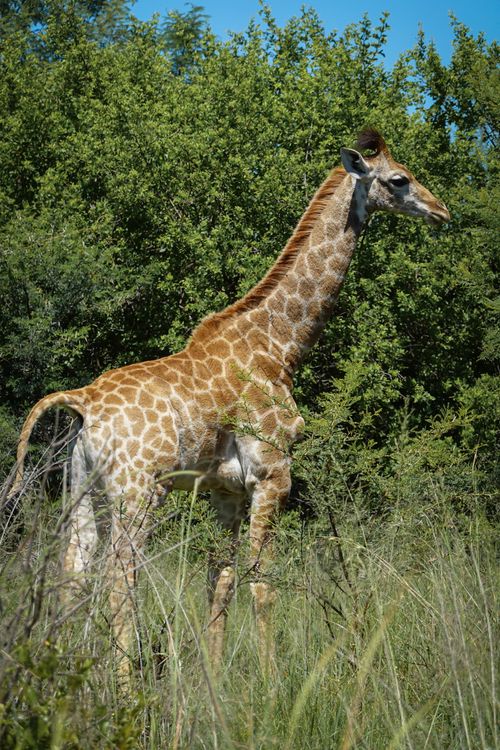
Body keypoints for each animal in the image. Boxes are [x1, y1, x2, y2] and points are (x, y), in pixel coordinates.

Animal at [8, 129, 449, 676]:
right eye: (399, 179)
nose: (441, 211)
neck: (280, 346)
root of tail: (82, 402)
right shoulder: (274, 473)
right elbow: (263, 581)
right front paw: (270, 682)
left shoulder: (226, 491)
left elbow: (220, 580)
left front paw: (214, 679)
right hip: (138, 491)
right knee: (119, 578)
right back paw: (124, 684)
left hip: (81, 490)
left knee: (74, 573)